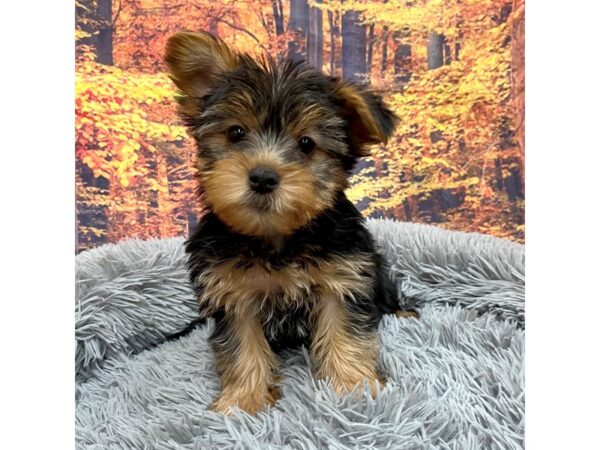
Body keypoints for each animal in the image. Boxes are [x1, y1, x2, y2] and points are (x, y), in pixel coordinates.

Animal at [164, 29, 418, 414]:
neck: (277, 237)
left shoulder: (343, 277)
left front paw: (352, 385)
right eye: (236, 133)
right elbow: (242, 345)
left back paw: (404, 315)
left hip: (377, 270)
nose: (263, 177)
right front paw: (243, 400)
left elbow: (345, 331)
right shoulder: (232, 292)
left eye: (307, 144)